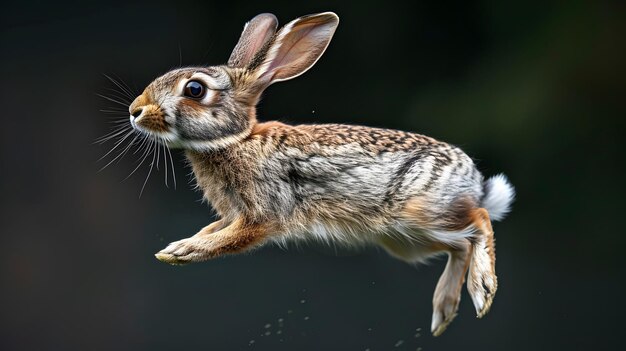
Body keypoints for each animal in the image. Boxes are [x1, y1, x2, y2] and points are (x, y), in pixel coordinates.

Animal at [125, 11, 512, 336]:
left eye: (195, 89)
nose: (135, 110)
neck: (237, 139)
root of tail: (475, 183)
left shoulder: (263, 213)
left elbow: (230, 239)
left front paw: (181, 251)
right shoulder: (232, 214)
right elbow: (214, 229)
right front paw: (177, 247)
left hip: (420, 212)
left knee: (478, 221)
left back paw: (483, 289)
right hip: (408, 241)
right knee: (460, 243)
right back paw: (444, 311)